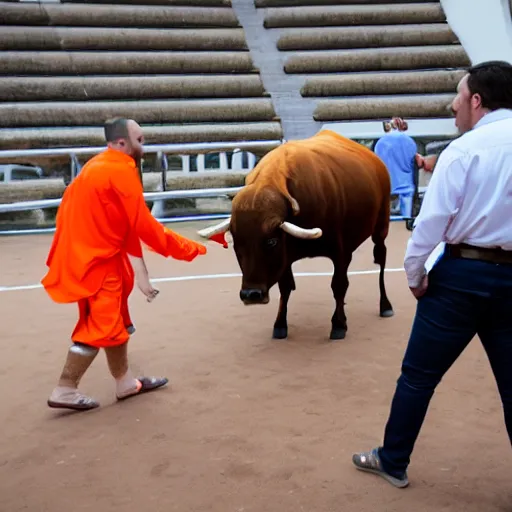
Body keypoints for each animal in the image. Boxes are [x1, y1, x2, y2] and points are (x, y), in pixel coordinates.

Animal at [198, 130, 394, 342]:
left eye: (271, 241)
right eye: (236, 243)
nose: (251, 294)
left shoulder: (340, 252)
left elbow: (339, 285)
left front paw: (339, 324)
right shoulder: (285, 258)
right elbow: (285, 288)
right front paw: (280, 324)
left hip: (381, 228)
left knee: (381, 261)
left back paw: (385, 305)